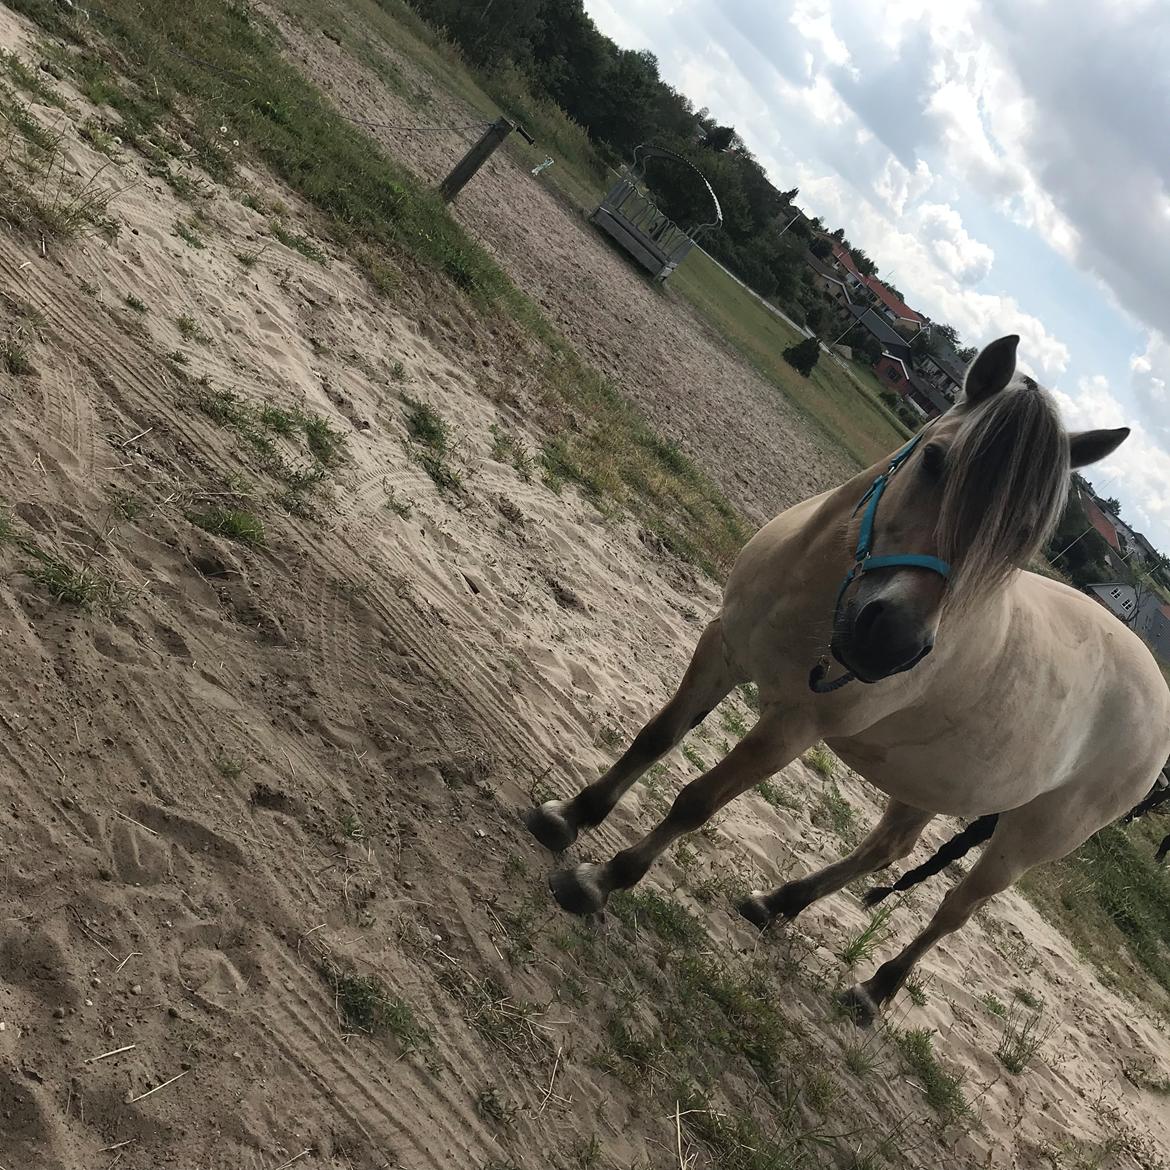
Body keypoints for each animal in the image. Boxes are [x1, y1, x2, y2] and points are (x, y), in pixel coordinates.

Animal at [524, 339, 1170, 1024]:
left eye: (1022, 539)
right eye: (935, 459)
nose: (891, 643)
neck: (812, 593)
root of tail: (1157, 698)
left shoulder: (793, 727)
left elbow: (697, 802)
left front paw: (600, 880)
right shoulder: (722, 648)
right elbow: (655, 738)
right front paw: (568, 818)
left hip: (1027, 839)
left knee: (954, 911)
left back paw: (874, 989)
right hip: (930, 777)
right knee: (887, 849)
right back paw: (778, 904)